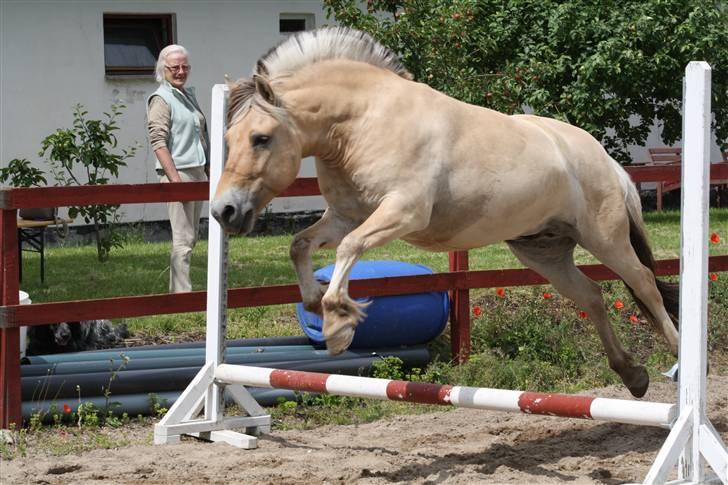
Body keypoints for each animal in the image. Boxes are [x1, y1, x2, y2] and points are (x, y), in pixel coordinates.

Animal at [213, 27, 680, 398]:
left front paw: (338, 324)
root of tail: (604, 159)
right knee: (592, 295)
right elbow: (300, 245)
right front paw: (318, 305)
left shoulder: (402, 212)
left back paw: (677, 357)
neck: (363, 122)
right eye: (229, 139)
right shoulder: (345, 216)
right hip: (542, 250)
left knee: (645, 283)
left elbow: (349, 248)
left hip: (605, 238)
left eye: (260, 138)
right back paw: (632, 375)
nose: (224, 211)